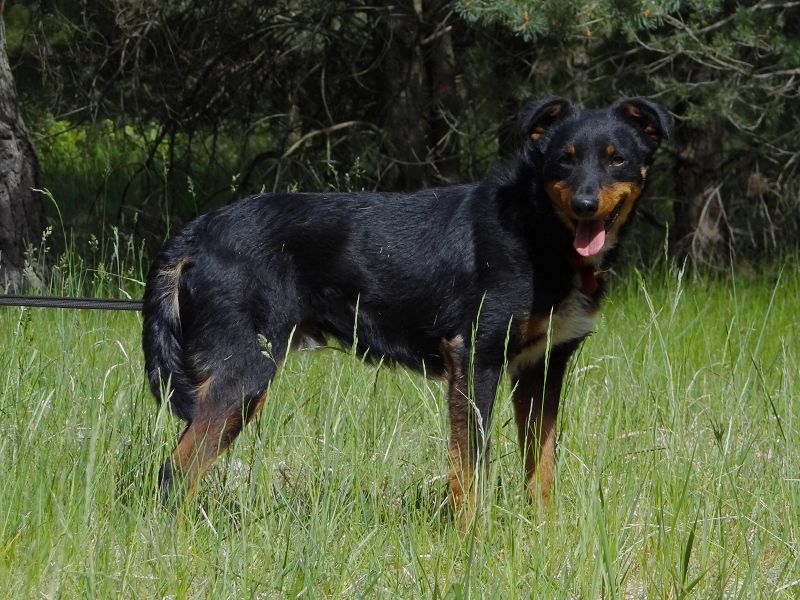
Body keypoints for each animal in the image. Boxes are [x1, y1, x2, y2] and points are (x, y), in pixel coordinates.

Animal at [142, 97, 672, 520]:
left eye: (617, 160)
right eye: (564, 160)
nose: (585, 204)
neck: (539, 229)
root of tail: (201, 230)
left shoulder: (542, 371)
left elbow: (540, 469)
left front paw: (541, 534)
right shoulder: (475, 360)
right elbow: (469, 468)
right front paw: (472, 540)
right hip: (245, 375)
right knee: (174, 472)